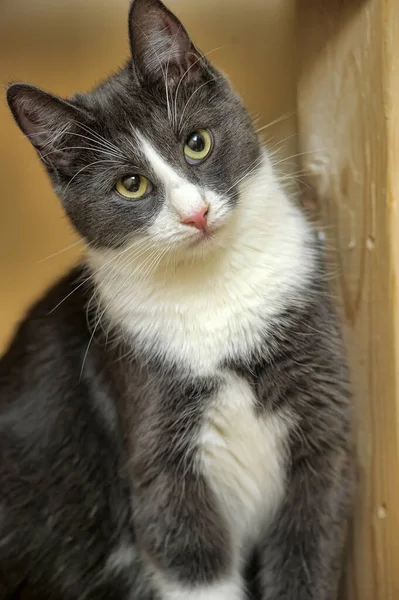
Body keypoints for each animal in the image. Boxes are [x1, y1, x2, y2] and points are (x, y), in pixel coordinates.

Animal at [0, 1, 356, 600]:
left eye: (196, 142)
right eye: (131, 185)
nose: (196, 214)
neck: (213, 289)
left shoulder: (321, 425)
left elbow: (310, 542)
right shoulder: (159, 455)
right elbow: (188, 553)